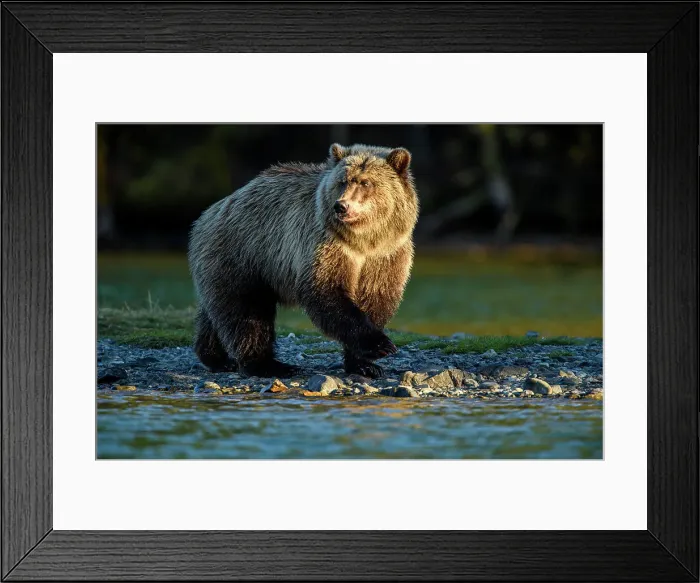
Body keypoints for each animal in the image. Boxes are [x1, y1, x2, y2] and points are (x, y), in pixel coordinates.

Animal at [188, 143, 419, 379]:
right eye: (342, 181)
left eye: (366, 182)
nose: (341, 206)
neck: (364, 240)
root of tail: (208, 213)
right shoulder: (325, 244)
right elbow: (325, 290)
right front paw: (380, 345)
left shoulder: (386, 254)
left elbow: (375, 298)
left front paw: (365, 364)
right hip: (245, 254)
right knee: (247, 312)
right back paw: (269, 365)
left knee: (218, 311)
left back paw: (216, 357)